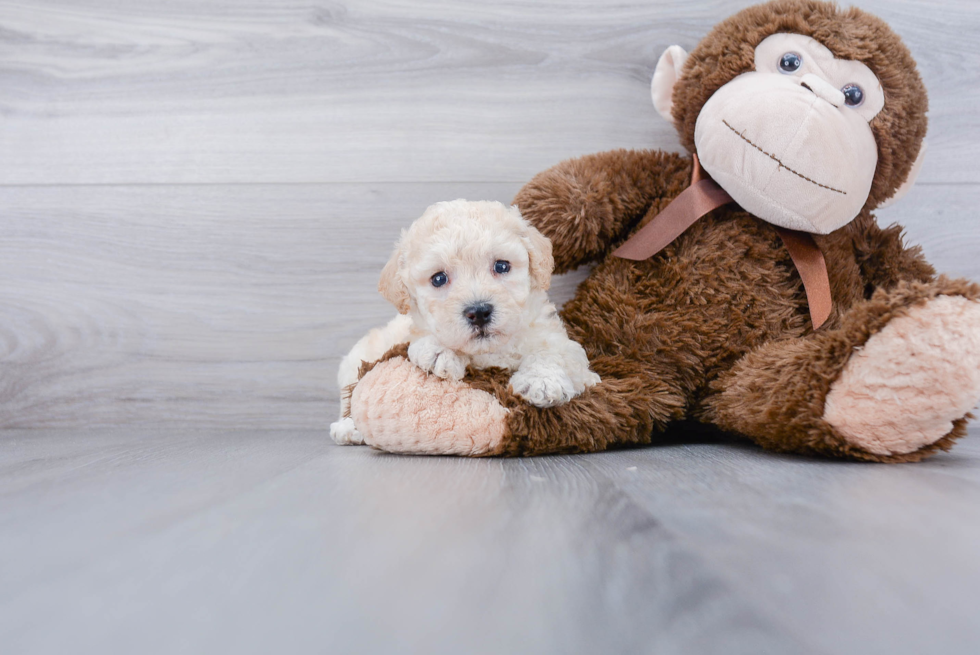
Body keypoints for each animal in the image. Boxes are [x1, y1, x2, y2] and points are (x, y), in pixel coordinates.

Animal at [334, 200, 600, 446]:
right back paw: (347, 428)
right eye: (438, 279)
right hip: (355, 361)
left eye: (501, 266)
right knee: (349, 395)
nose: (479, 312)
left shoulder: (563, 346)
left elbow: (555, 353)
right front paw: (439, 352)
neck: (490, 352)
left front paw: (541, 381)